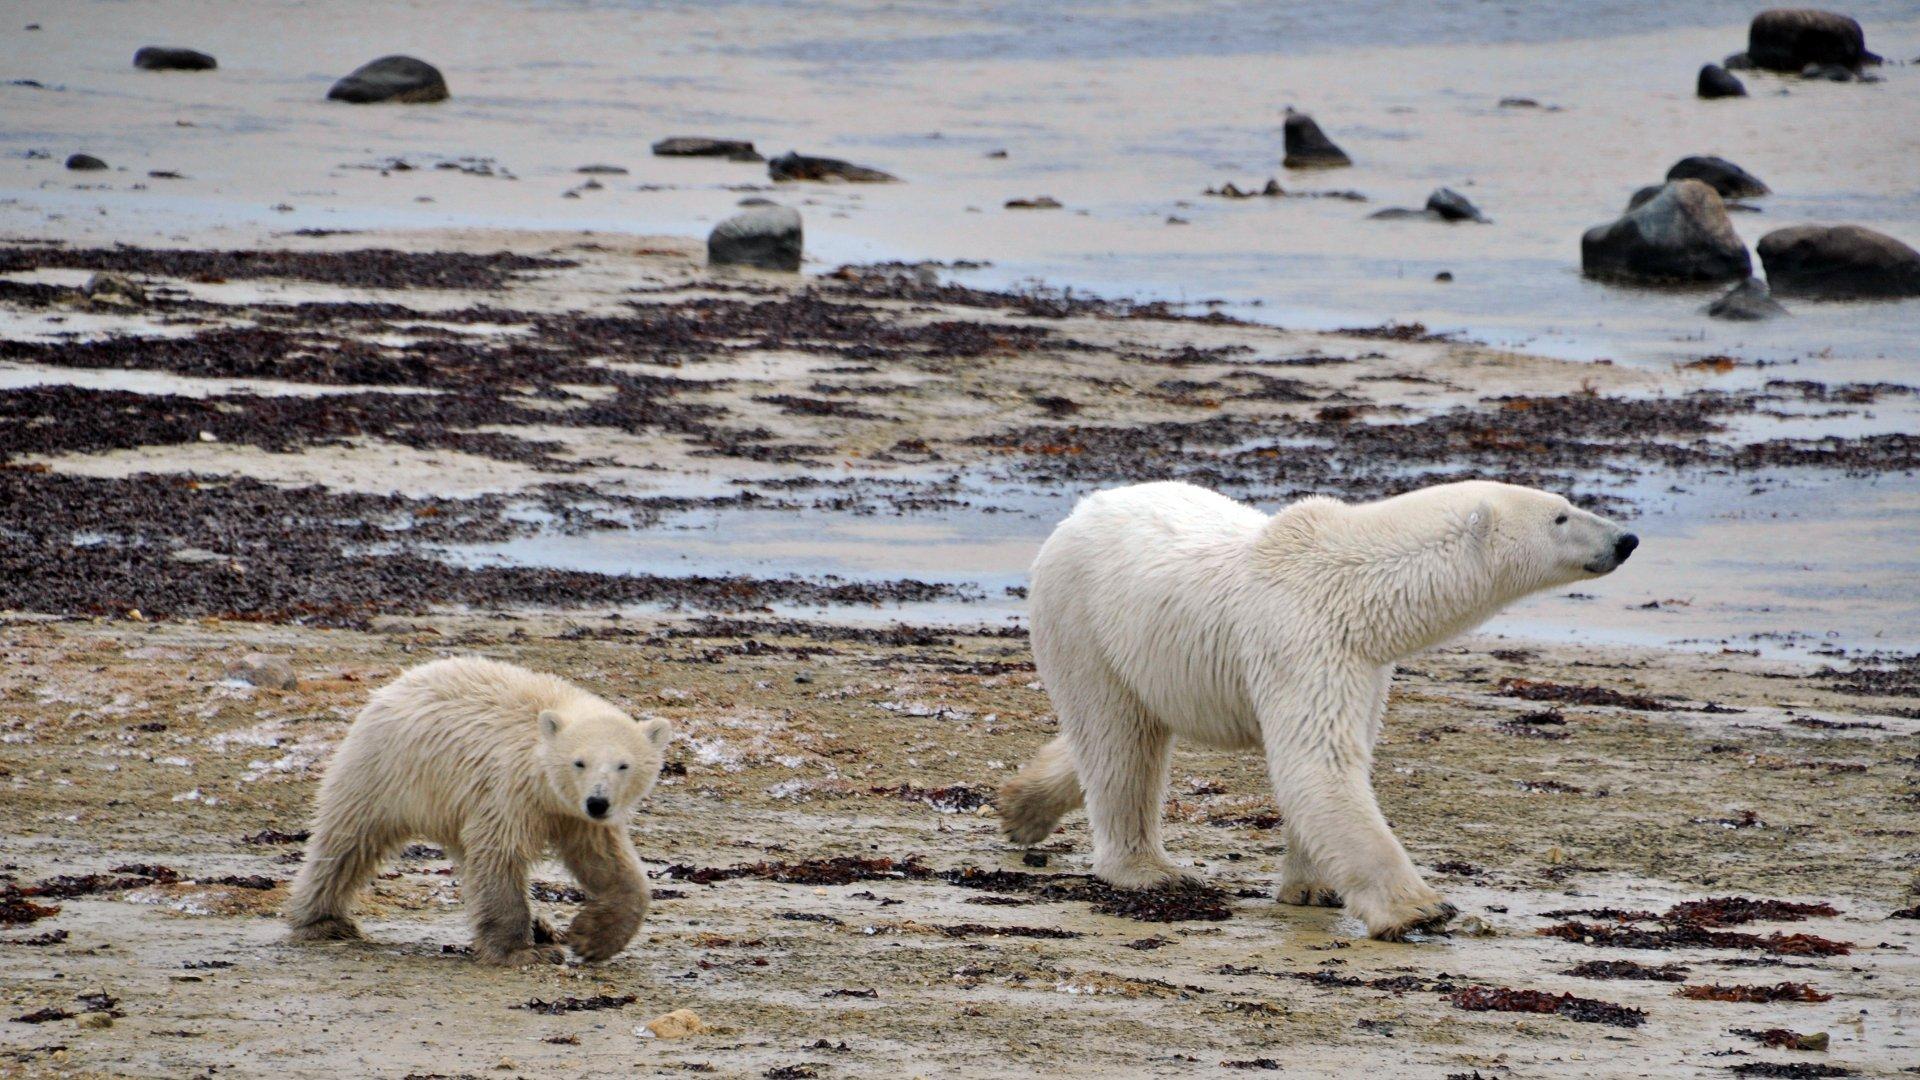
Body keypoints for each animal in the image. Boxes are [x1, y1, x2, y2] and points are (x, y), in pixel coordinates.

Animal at [284, 657, 670, 965]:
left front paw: (592, 937)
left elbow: (605, 861)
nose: (598, 802)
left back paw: (542, 927)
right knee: (346, 841)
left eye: (623, 765)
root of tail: (395, 685)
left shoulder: (574, 816)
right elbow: (500, 855)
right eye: (579, 762)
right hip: (384, 771)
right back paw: (324, 921)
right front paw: (523, 951)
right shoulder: (509, 792)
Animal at [999, 480, 1638, 940]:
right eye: (1561, 516)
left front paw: (1312, 888)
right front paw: (1420, 907)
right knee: (1118, 739)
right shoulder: (1302, 638)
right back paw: (1147, 870)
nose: (1626, 539)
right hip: (1088, 622)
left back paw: (1022, 807)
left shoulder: (1367, 665)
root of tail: (1079, 512)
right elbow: (1319, 764)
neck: (1356, 582)